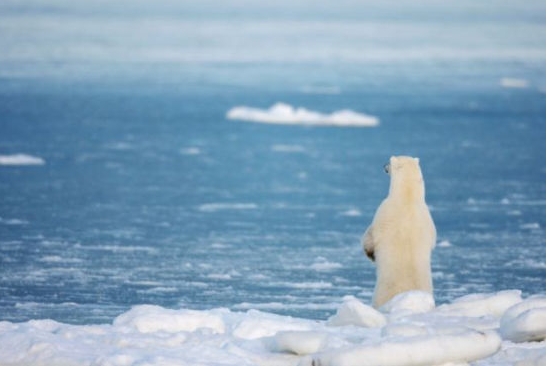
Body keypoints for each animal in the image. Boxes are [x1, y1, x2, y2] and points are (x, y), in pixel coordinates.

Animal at [362, 156, 434, 308]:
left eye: (389, 161)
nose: (384, 166)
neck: (408, 198)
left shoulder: (383, 211)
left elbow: (370, 236)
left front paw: (370, 254)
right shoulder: (429, 220)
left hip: (380, 294)